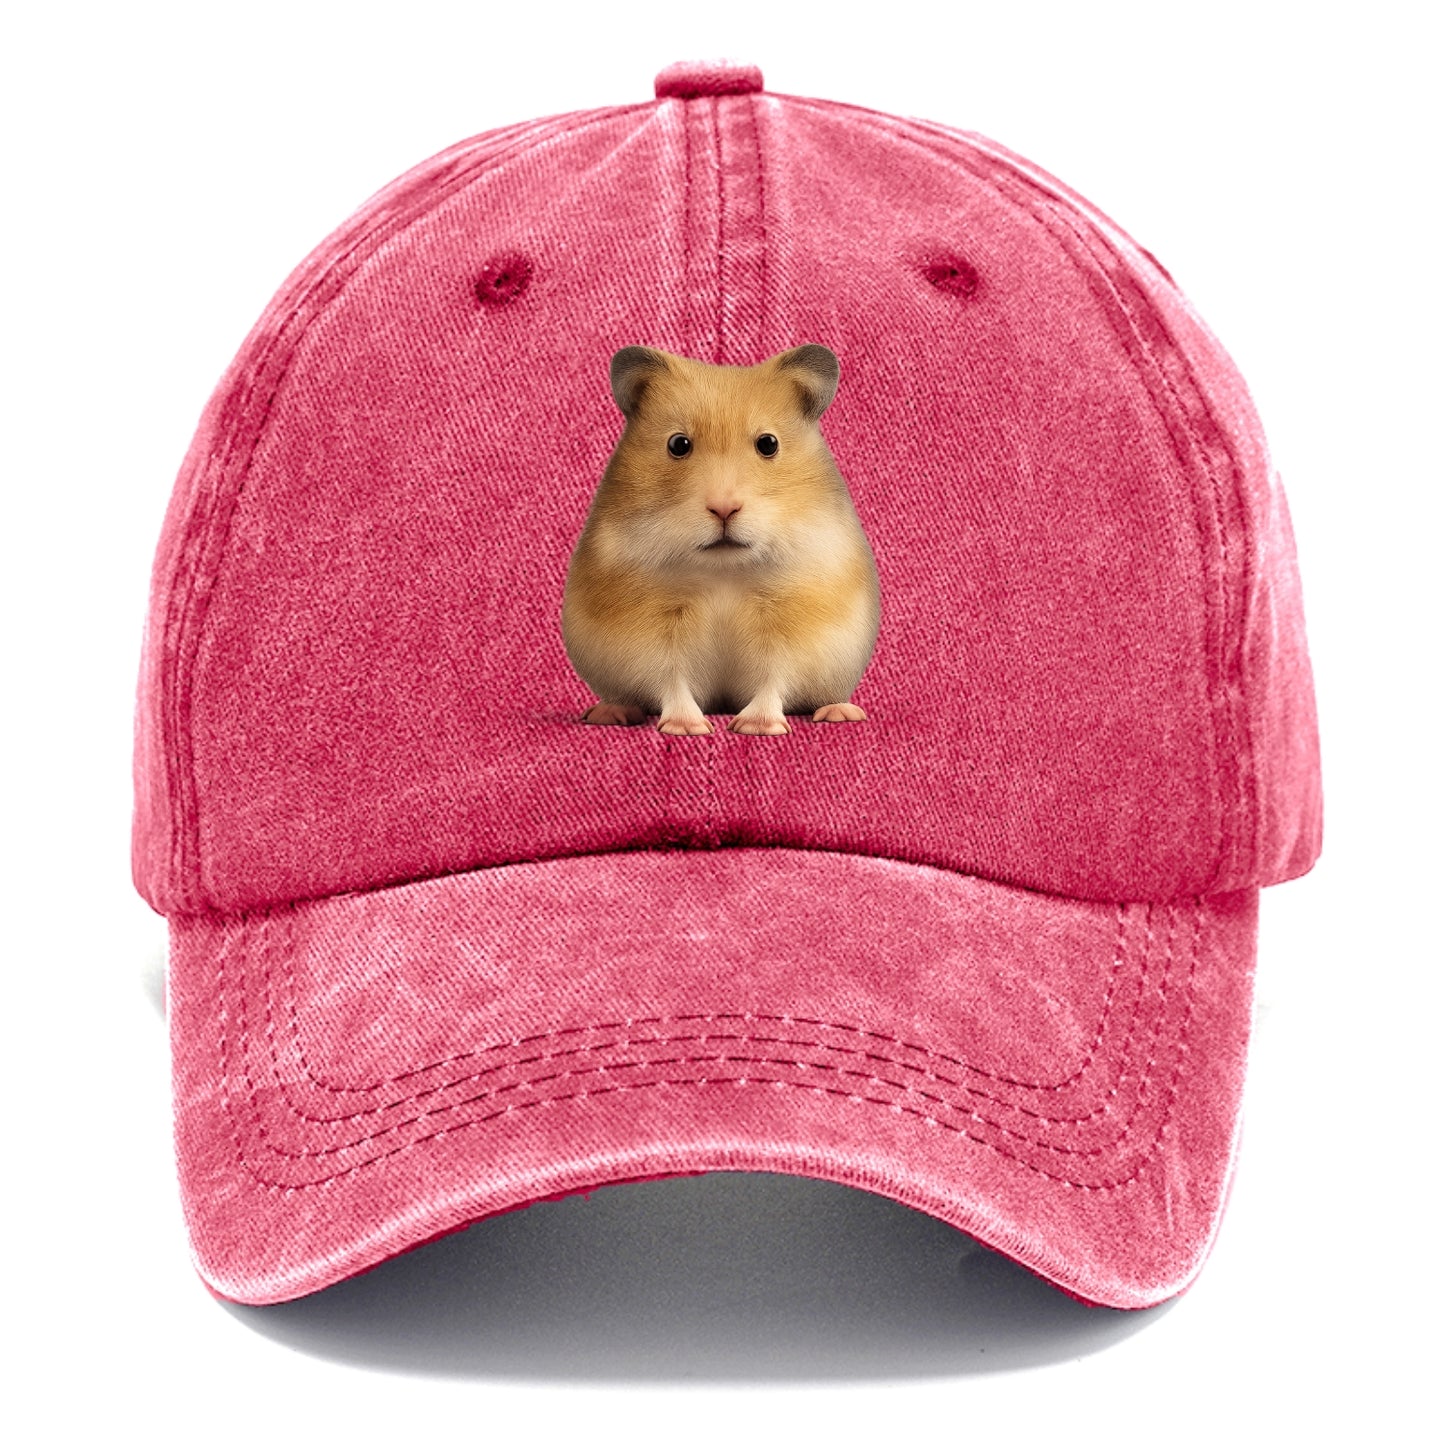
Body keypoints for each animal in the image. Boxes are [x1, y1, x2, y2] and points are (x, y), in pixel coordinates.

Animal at [562, 344, 880, 736]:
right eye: (678, 444)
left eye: (768, 444)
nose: (724, 508)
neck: (723, 571)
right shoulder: (652, 635)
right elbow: (671, 679)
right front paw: (687, 728)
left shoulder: (791, 629)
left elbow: (773, 678)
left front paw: (756, 727)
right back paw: (609, 712)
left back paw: (841, 712)